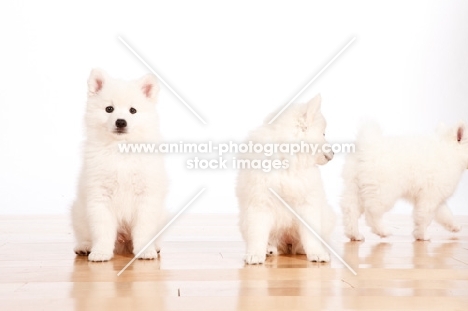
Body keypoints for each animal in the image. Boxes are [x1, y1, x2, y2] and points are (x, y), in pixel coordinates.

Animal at [71, 69, 168, 262]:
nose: (121, 121)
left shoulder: (146, 197)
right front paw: (100, 252)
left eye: (133, 110)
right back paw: (85, 246)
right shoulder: (100, 197)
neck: (121, 149)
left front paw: (145, 250)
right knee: (84, 234)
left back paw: (155, 246)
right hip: (78, 211)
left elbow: (144, 229)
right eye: (109, 109)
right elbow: (102, 229)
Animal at [238, 95, 336, 266]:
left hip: (326, 217)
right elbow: (257, 234)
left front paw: (317, 253)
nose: (334, 153)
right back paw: (269, 249)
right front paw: (255, 254)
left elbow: (311, 236)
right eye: (323, 134)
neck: (288, 161)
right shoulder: (259, 203)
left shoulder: (308, 204)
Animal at [340, 122, 468, 241]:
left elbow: (445, 215)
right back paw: (382, 231)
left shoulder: (437, 199)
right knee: (372, 212)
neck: (450, 151)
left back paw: (354, 234)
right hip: (383, 193)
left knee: (350, 210)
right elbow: (424, 217)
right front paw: (422, 235)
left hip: (355, 188)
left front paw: (454, 226)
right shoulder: (429, 197)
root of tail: (367, 146)